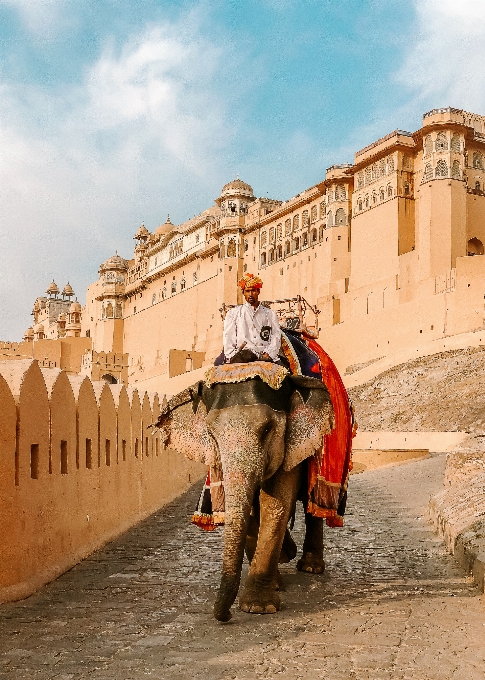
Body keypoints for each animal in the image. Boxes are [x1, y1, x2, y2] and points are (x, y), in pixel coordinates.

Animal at [155, 366, 332, 620]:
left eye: (267, 429)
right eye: (211, 433)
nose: (226, 615)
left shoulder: (289, 443)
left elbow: (275, 502)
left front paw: (258, 607)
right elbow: (251, 509)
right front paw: (273, 585)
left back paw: (311, 566)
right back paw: (286, 555)